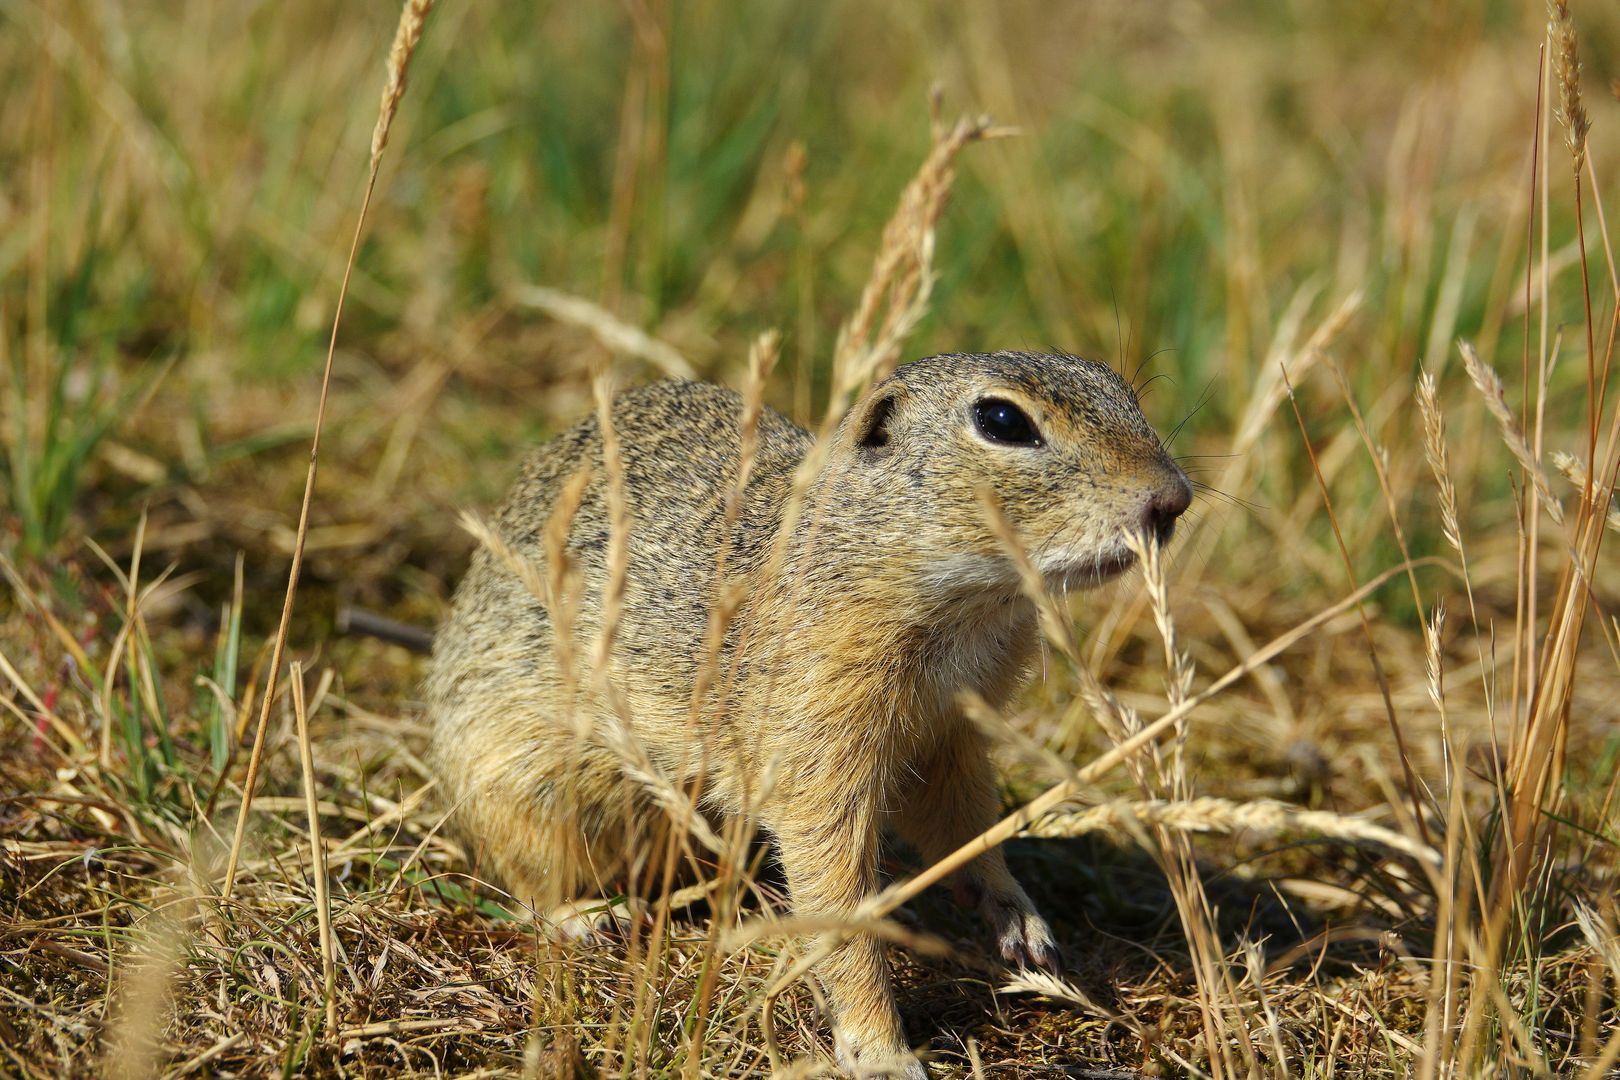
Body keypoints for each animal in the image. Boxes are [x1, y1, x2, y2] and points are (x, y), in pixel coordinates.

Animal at [427, 351, 1192, 1075]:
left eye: (1119, 388)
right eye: (1003, 421)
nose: (1175, 500)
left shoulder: (949, 736)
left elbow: (967, 824)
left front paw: (1017, 916)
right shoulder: (815, 748)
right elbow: (838, 900)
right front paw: (881, 1051)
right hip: (524, 784)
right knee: (526, 878)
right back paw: (588, 916)